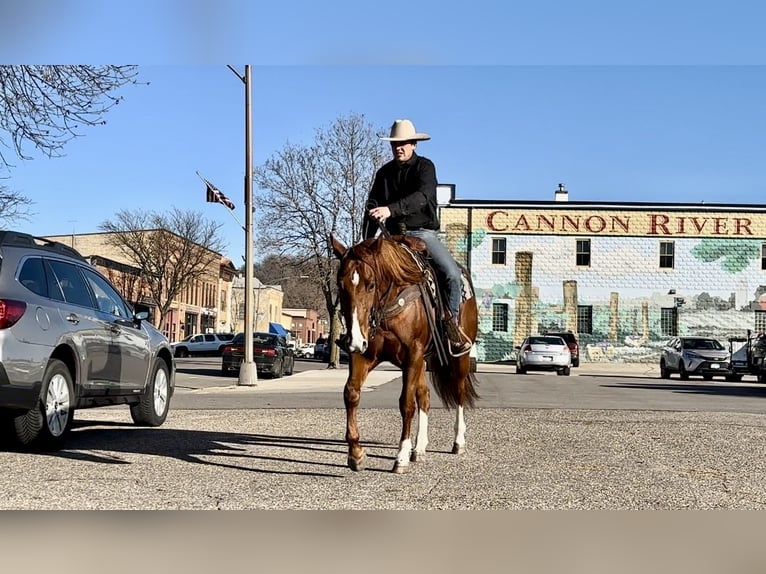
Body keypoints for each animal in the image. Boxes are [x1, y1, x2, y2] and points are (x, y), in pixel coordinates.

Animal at [332, 235, 480, 476]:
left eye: (370, 284)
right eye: (340, 285)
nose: (353, 339)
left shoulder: (413, 353)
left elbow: (406, 404)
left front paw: (400, 457)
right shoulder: (365, 354)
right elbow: (351, 394)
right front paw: (356, 453)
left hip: (458, 359)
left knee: (458, 393)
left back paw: (458, 441)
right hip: (422, 362)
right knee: (425, 396)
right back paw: (419, 447)